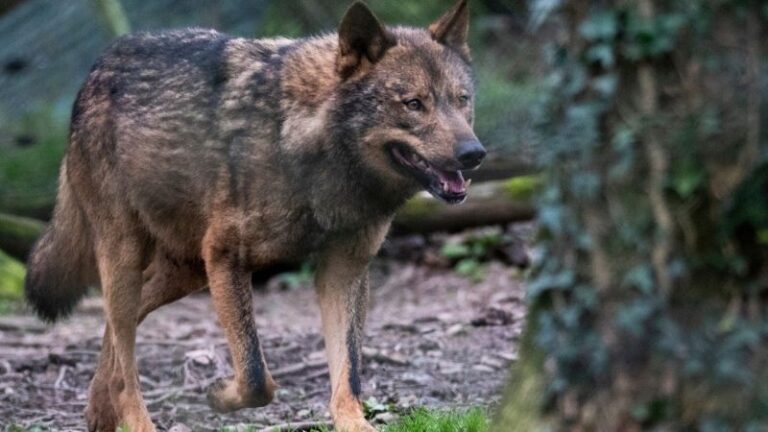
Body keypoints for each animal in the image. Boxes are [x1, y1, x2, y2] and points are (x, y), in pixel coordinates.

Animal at [24, 1, 485, 430]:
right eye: (414, 104)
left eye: (462, 101)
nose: (474, 153)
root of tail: (98, 65)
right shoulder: (226, 257)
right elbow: (256, 376)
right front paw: (219, 395)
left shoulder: (344, 269)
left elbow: (348, 374)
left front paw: (356, 423)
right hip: (129, 257)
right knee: (125, 360)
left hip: (185, 271)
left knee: (117, 332)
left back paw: (98, 410)